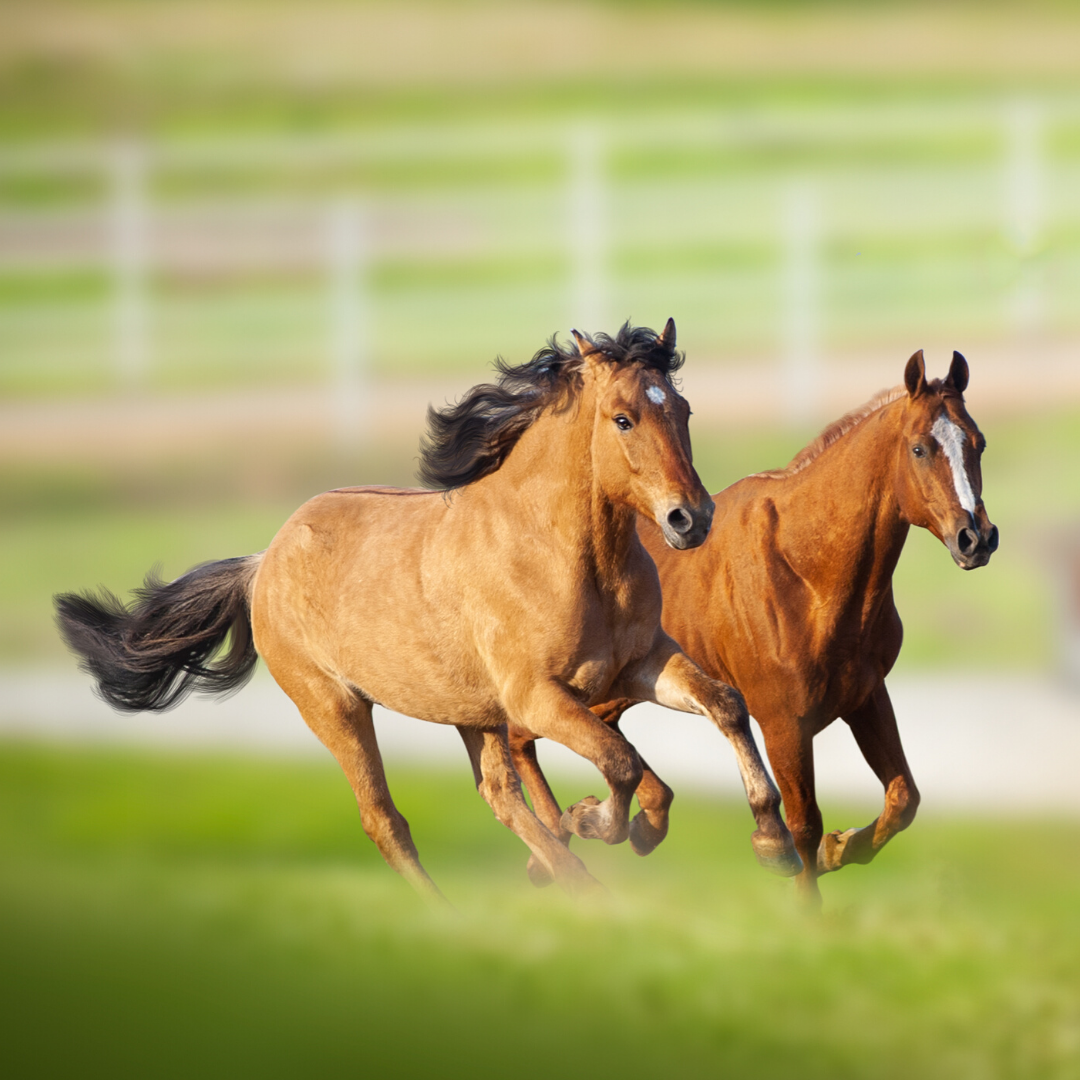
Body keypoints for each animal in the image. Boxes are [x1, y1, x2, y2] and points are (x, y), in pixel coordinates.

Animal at [55, 320, 800, 904]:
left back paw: (576, 883)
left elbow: (722, 707)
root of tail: (262, 563)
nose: (690, 518)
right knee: (385, 819)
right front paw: (598, 820)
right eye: (623, 418)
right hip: (337, 709)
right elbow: (618, 763)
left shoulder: (638, 665)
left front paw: (771, 843)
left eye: (684, 411)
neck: (565, 555)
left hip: (470, 713)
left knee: (499, 796)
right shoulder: (537, 698)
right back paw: (458, 912)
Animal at [508, 349, 997, 905]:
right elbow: (803, 823)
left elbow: (902, 799)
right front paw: (803, 888)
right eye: (919, 447)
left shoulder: (865, 695)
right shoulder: (784, 721)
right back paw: (561, 841)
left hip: (615, 688)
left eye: (977, 442)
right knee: (521, 736)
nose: (976, 538)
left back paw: (616, 827)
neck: (804, 571)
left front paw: (839, 848)